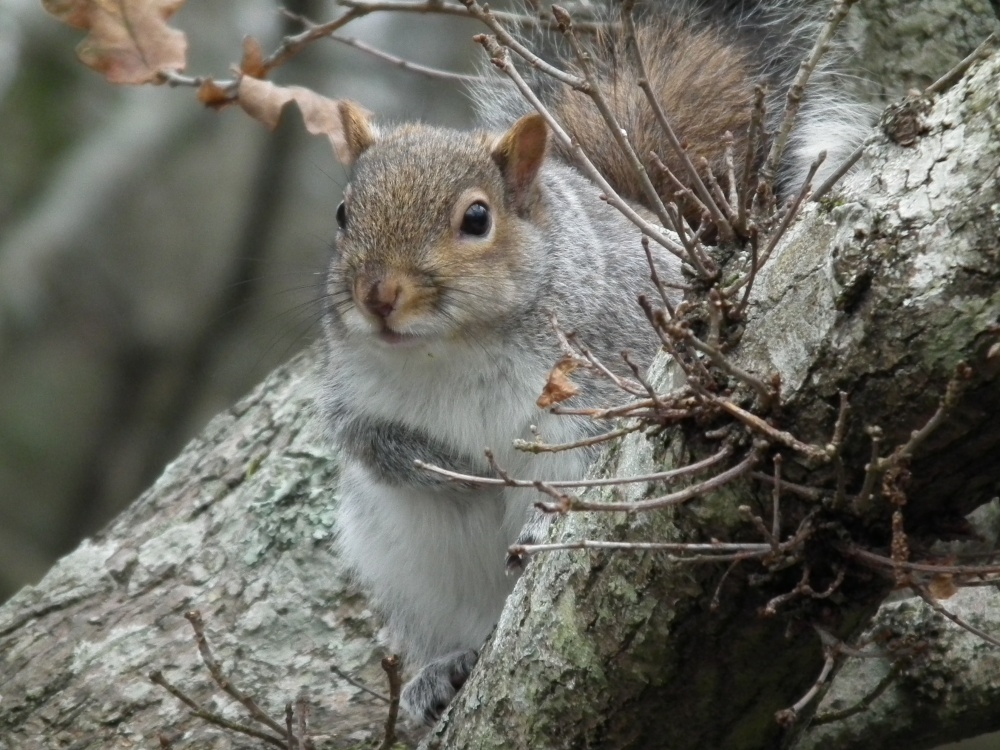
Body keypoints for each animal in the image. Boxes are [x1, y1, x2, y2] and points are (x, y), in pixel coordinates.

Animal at [321, 0, 872, 726]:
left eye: (477, 219)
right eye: (342, 213)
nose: (378, 296)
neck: (452, 347)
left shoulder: (613, 373)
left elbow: (596, 460)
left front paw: (539, 514)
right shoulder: (347, 396)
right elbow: (369, 443)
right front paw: (445, 468)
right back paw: (441, 671)